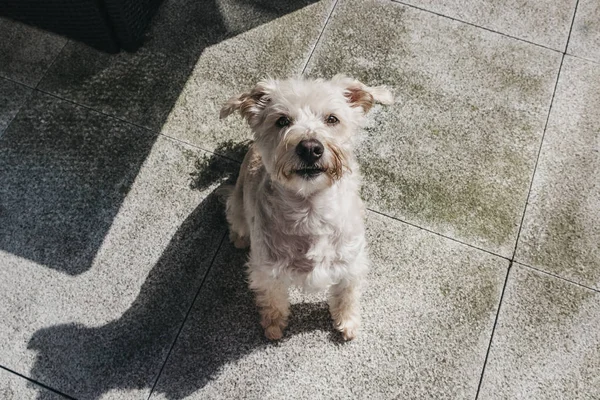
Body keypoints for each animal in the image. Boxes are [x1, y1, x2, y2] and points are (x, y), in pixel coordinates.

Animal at [220, 76, 394, 340]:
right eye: (282, 120)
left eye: (332, 118)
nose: (310, 148)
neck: (311, 209)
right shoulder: (267, 270)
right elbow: (273, 299)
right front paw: (273, 326)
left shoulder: (351, 263)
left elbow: (348, 295)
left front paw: (348, 322)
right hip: (237, 204)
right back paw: (239, 238)